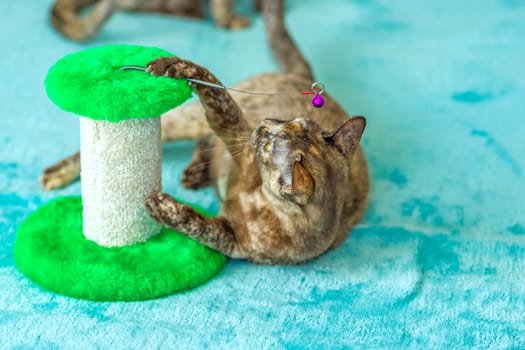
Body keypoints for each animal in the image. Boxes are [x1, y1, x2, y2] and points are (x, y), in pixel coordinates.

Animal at [41, 0, 368, 262]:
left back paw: (195, 174)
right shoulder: (236, 135)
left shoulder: (232, 240)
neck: (260, 203)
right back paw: (56, 174)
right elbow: (218, 93)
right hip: (189, 122)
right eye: (290, 122)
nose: (264, 123)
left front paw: (163, 207)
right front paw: (177, 67)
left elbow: (198, 226)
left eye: (268, 145)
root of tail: (301, 77)